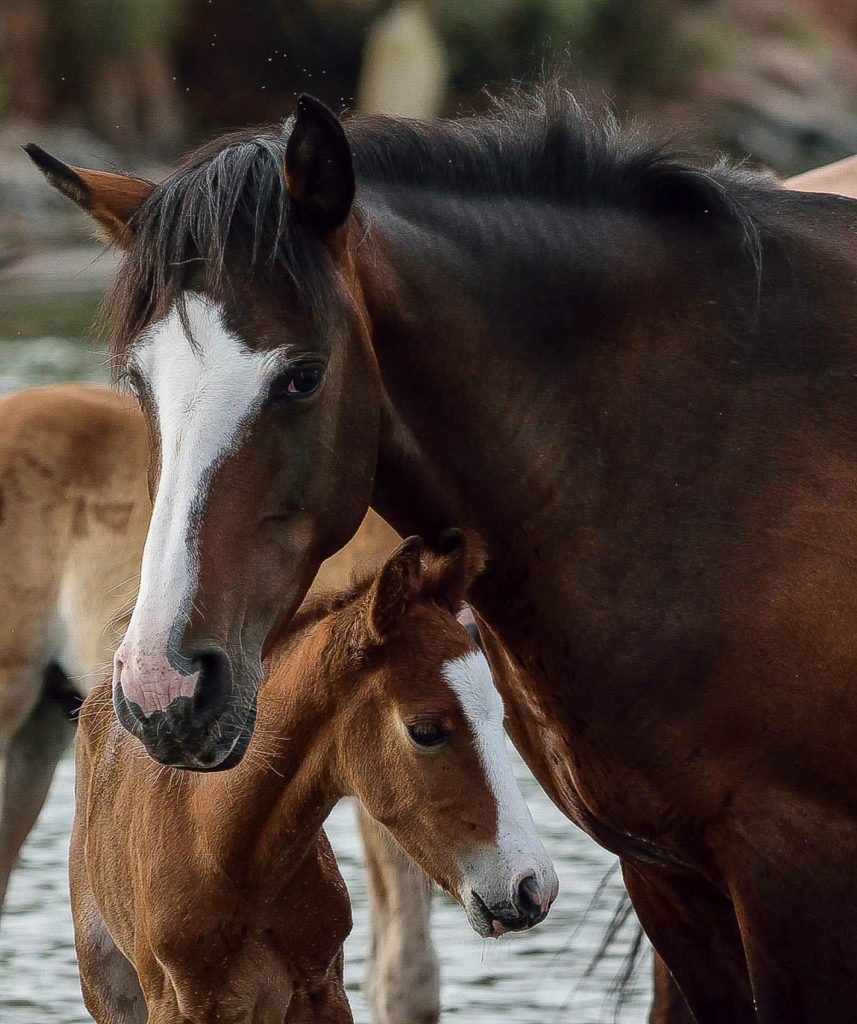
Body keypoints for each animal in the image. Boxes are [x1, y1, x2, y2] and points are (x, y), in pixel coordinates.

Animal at [71, 531, 558, 1023]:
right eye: (426, 731)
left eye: (500, 718)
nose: (533, 887)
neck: (232, 857)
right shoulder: (180, 1006)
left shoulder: (323, 992)